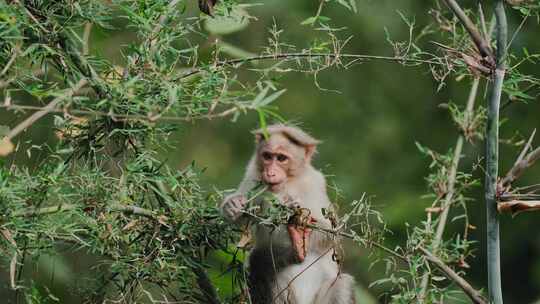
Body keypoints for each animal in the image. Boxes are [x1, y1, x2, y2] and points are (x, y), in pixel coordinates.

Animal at [221, 124, 356, 304]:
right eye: (267, 156)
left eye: (281, 158)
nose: (270, 173)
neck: (288, 182)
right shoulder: (252, 177)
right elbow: (243, 222)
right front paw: (232, 205)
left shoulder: (315, 182)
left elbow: (330, 233)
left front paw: (294, 212)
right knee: (258, 261)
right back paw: (293, 251)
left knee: (342, 284)